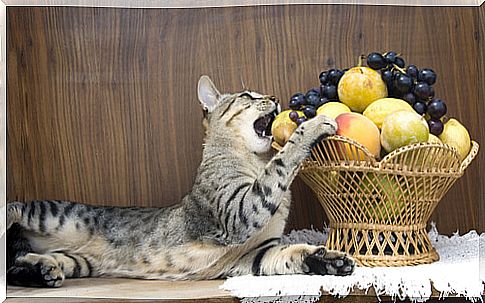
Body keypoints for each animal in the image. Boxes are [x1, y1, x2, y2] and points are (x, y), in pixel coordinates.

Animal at [5, 75, 354, 288]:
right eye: (246, 96)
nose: (274, 96)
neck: (252, 160)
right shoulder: (239, 213)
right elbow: (280, 164)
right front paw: (311, 126)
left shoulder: (255, 254)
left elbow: (292, 253)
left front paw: (328, 260)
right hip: (54, 214)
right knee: (15, 208)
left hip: (76, 261)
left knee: (16, 261)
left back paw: (43, 270)